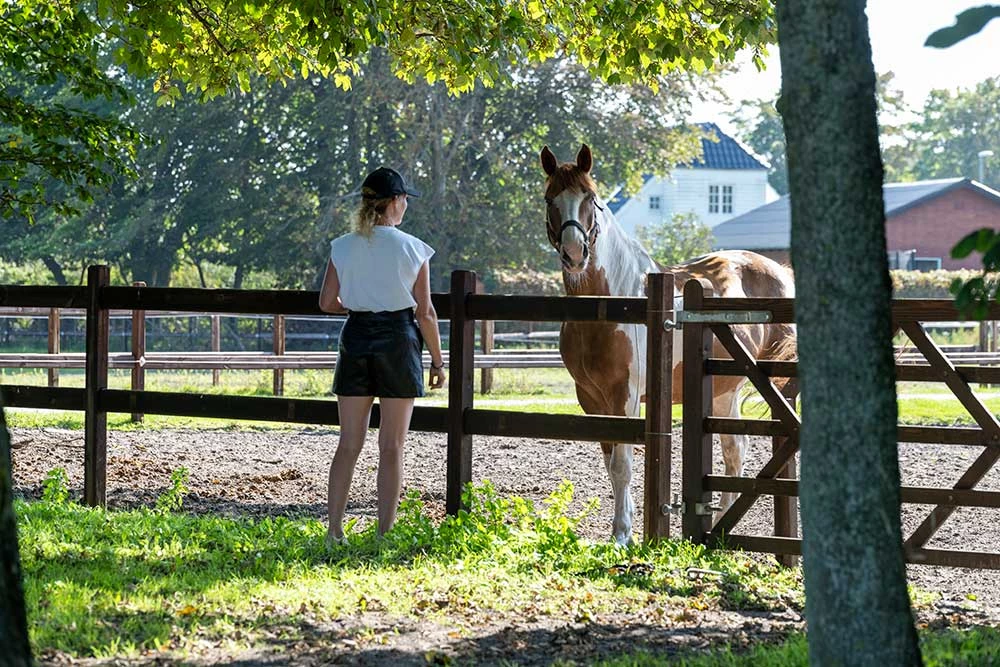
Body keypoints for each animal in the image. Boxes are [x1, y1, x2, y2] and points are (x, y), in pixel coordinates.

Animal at [540, 144, 796, 544]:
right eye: (550, 198)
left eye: (590, 199)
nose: (574, 253)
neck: (613, 303)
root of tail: (779, 272)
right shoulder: (591, 398)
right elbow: (610, 459)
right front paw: (625, 528)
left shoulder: (625, 395)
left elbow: (623, 463)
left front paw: (622, 535)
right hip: (725, 390)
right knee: (734, 450)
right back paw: (722, 526)